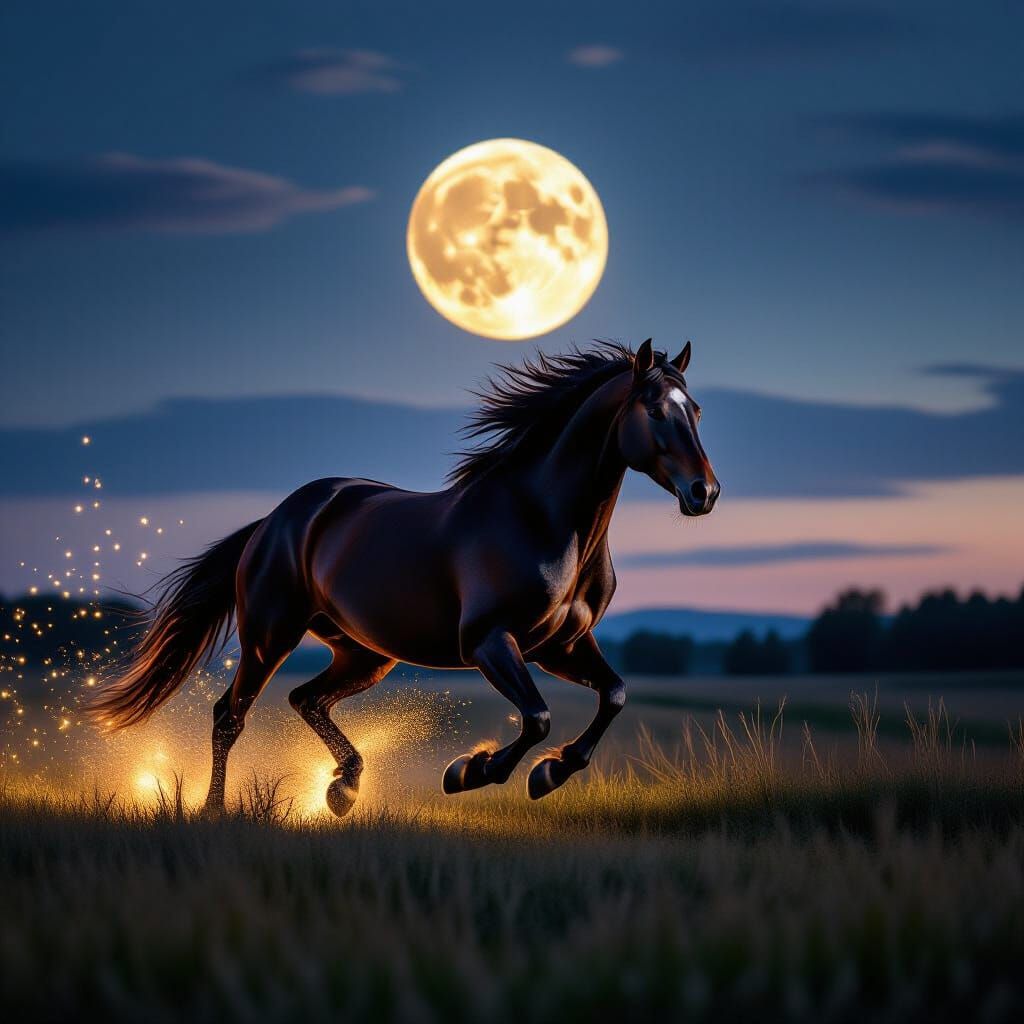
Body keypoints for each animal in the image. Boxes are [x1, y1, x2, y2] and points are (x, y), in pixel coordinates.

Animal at [91, 339, 720, 816]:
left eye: (696, 411)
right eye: (656, 411)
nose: (704, 493)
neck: (542, 519)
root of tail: (273, 521)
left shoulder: (562, 644)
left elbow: (614, 694)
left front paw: (549, 773)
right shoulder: (490, 642)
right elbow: (538, 717)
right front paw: (472, 770)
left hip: (366, 654)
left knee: (305, 697)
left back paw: (344, 788)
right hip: (271, 635)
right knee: (230, 714)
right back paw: (215, 808)